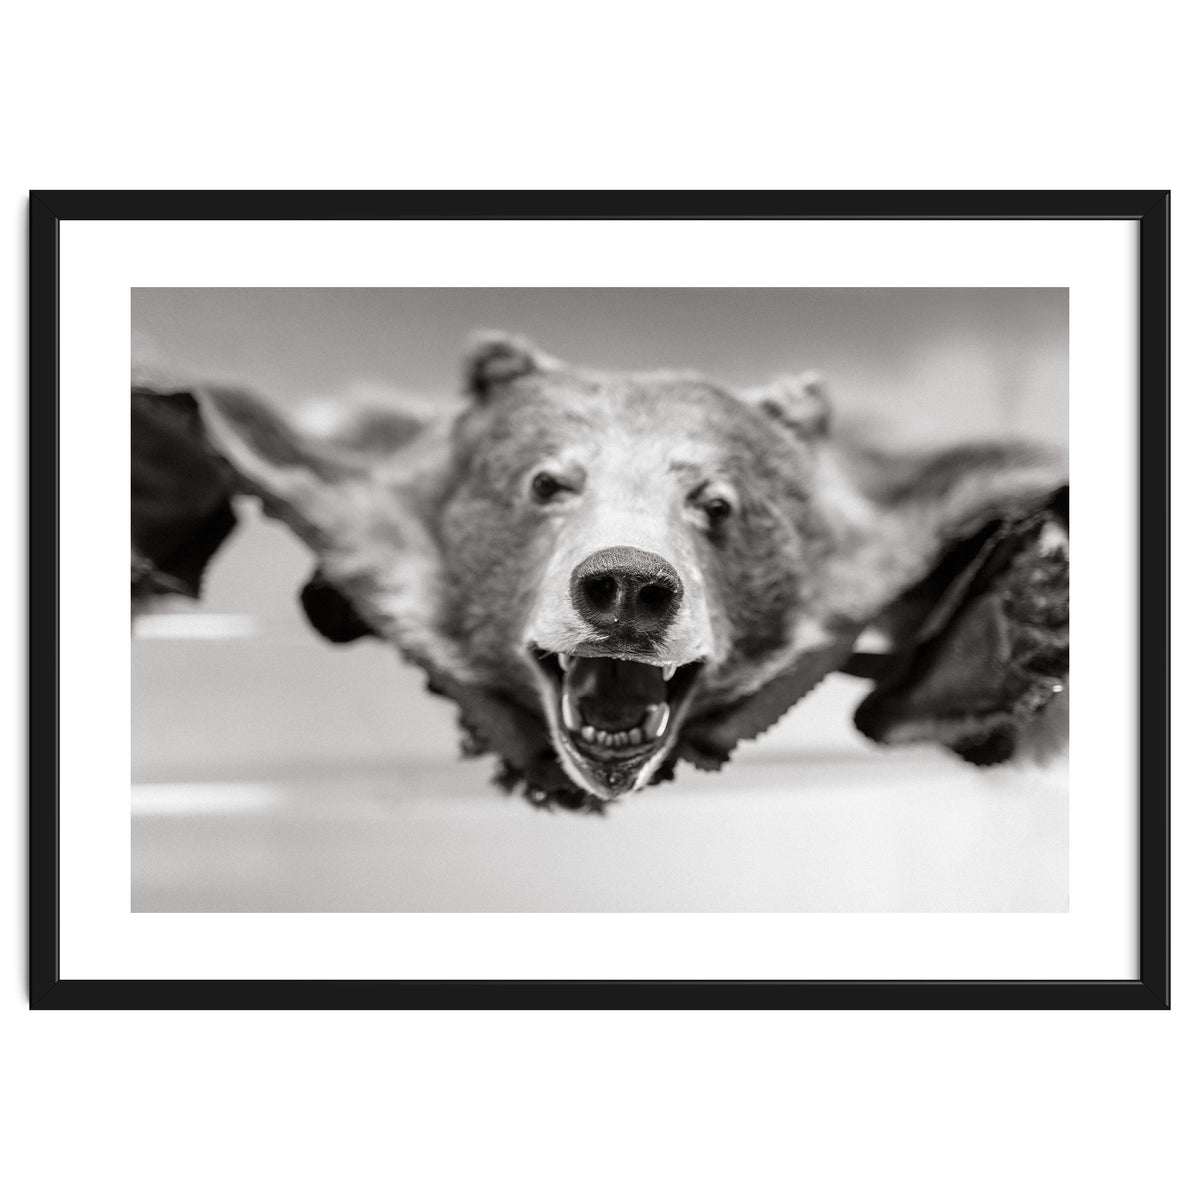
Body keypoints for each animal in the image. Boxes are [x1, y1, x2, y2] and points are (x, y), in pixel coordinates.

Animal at [138, 334, 1069, 811]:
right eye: (547, 482)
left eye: (717, 501)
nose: (627, 586)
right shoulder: (341, 498)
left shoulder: (901, 525)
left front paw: (1030, 618)